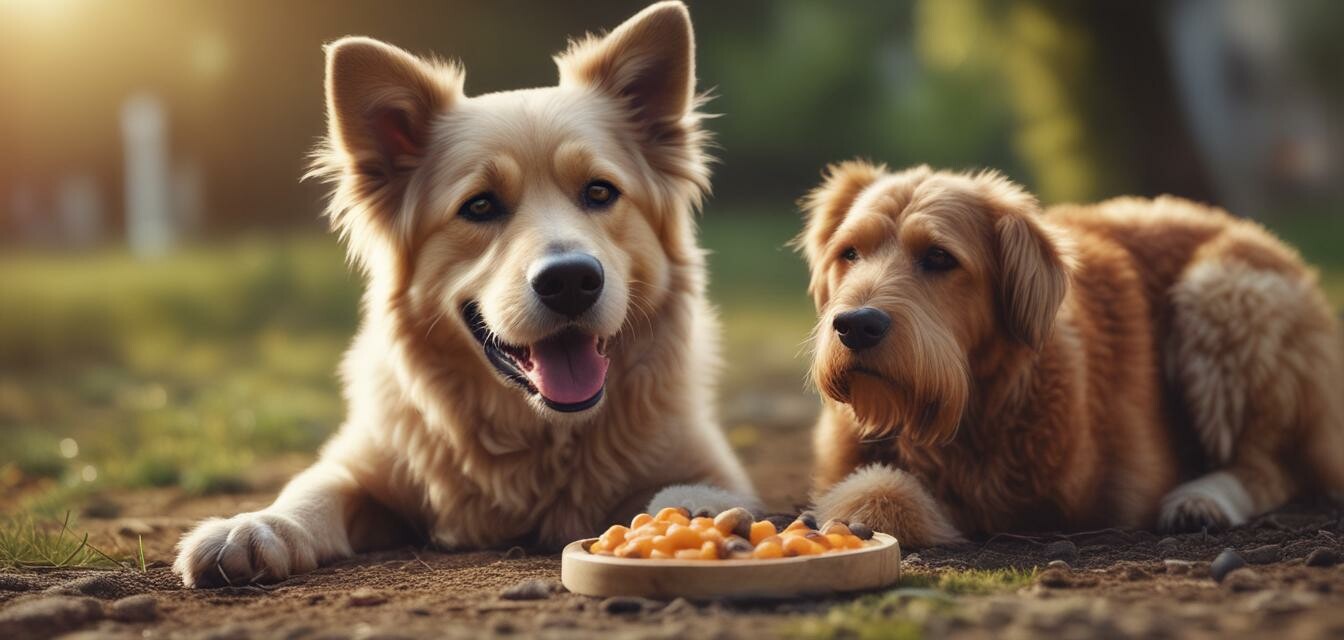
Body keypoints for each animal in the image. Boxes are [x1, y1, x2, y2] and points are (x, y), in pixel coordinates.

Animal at [173, 2, 758, 586]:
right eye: (479, 206)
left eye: (599, 192)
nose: (571, 280)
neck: (540, 436)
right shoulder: (363, 459)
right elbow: (314, 487)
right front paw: (256, 526)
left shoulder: (707, 461)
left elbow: (695, 490)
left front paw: (697, 517)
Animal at [795, 164, 1344, 545]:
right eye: (849, 253)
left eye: (938, 257)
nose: (856, 326)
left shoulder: (1027, 501)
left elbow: (880, 496)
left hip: (1223, 295)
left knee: (1274, 467)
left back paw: (1201, 498)